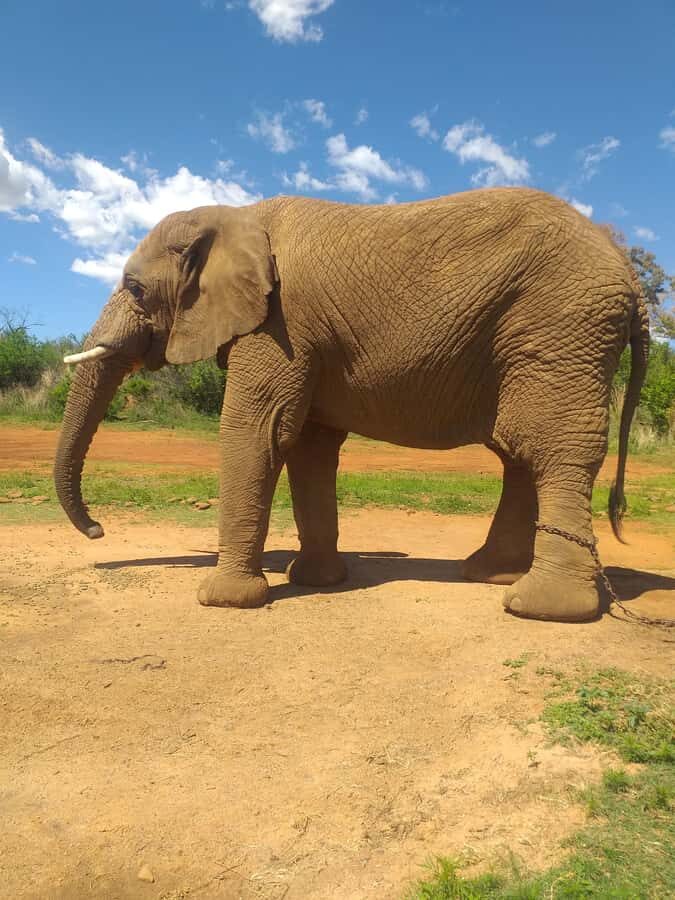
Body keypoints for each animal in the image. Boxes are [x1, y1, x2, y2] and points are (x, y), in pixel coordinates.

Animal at [54, 187, 648, 622]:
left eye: (134, 288)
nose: (98, 530)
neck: (238, 215)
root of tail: (631, 275)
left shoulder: (280, 324)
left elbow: (258, 430)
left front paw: (224, 601)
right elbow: (308, 446)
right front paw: (315, 582)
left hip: (561, 329)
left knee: (549, 447)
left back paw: (540, 608)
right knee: (517, 453)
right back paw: (488, 575)